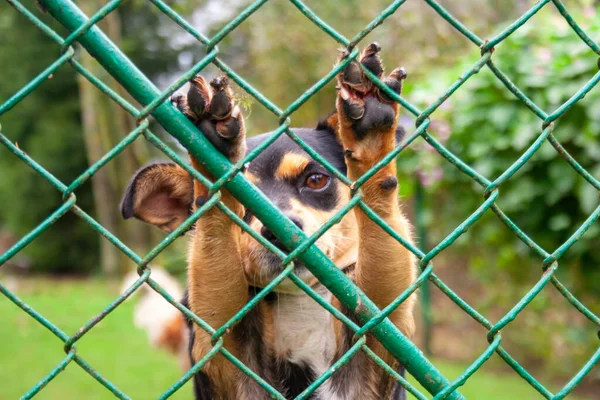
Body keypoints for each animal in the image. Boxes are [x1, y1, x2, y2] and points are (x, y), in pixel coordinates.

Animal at [119, 42, 414, 398]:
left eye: (316, 180)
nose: (278, 232)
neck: (299, 303)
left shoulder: (382, 329)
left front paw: (369, 125)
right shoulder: (223, 356)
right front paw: (212, 160)